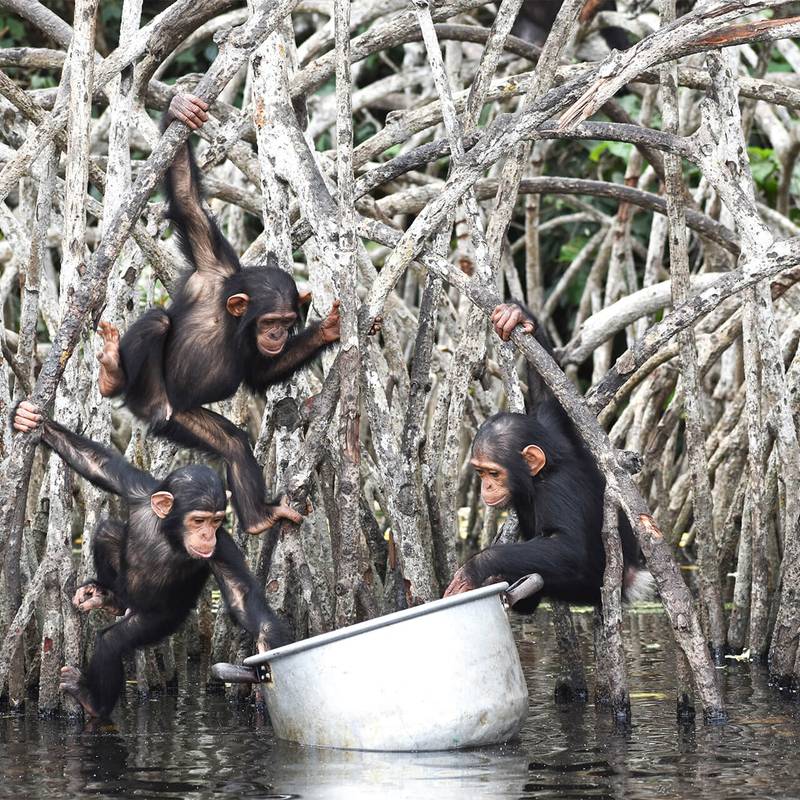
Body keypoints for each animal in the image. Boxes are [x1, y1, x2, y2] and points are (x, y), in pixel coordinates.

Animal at [12, 400, 290, 720]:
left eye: (217, 520)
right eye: (199, 520)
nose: (206, 535)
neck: (169, 532)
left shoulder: (221, 547)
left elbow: (240, 593)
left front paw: (267, 642)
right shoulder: (139, 491)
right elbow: (98, 465)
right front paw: (31, 420)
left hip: (160, 618)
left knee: (113, 642)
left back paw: (93, 701)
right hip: (125, 587)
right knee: (107, 532)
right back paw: (107, 596)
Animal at [97, 90, 340, 536]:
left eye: (286, 325)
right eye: (270, 322)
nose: (277, 336)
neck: (233, 320)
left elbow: (261, 374)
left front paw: (329, 329)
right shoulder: (211, 265)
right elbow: (188, 202)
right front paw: (180, 108)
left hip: (183, 419)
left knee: (232, 443)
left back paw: (260, 519)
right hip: (157, 402)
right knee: (157, 323)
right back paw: (112, 374)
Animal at [444, 304, 648, 612]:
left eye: (493, 473)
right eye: (480, 472)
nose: (486, 486)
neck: (538, 476)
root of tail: (633, 576)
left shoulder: (557, 490)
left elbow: (568, 546)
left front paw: (476, 567)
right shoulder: (550, 425)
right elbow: (548, 395)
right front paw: (518, 317)